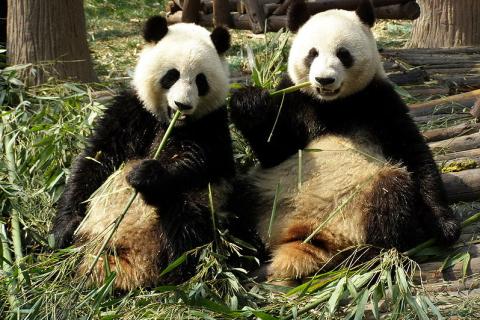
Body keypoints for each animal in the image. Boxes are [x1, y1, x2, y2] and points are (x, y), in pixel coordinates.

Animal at [51, 15, 237, 290]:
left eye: (200, 80)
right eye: (172, 75)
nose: (182, 105)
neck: (170, 123)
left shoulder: (210, 125)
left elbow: (197, 160)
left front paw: (145, 174)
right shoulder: (133, 110)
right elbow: (95, 159)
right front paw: (63, 230)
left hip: (204, 211)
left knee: (189, 229)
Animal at [230, 0, 462, 284]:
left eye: (343, 54)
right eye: (312, 54)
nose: (324, 80)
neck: (333, 105)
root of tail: (309, 236)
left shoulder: (379, 101)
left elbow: (414, 154)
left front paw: (445, 227)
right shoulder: (296, 101)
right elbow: (274, 148)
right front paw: (249, 101)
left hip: (363, 200)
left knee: (392, 195)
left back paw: (369, 256)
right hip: (266, 193)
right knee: (234, 206)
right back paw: (240, 256)